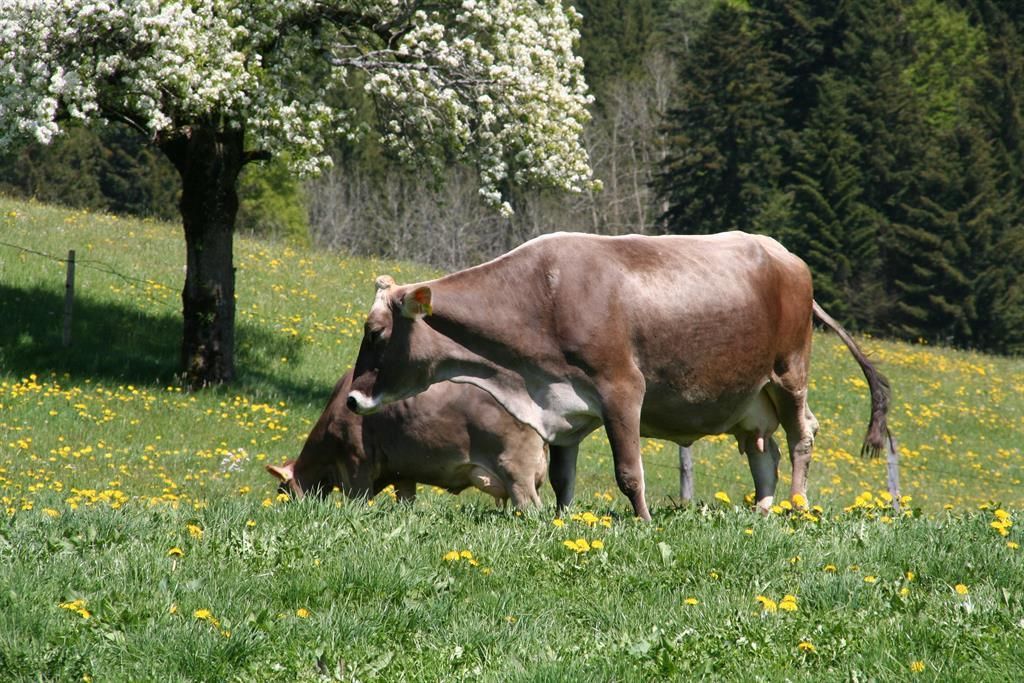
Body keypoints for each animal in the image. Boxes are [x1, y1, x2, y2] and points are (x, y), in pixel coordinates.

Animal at [266, 368, 548, 510]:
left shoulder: (356, 463)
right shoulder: (403, 473)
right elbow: (406, 503)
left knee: (531, 507)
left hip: (516, 468)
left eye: (283, 492)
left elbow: (358, 502)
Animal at [345, 232, 892, 521]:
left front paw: (645, 523)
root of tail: (785, 254)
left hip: (789, 372)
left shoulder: (623, 390)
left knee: (803, 435)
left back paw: (795, 506)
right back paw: (762, 507)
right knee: (765, 450)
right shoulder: (562, 406)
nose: (351, 400)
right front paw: (564, 521)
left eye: (376, 332)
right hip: (751, 397)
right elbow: (561, 477)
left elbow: (629, 472)